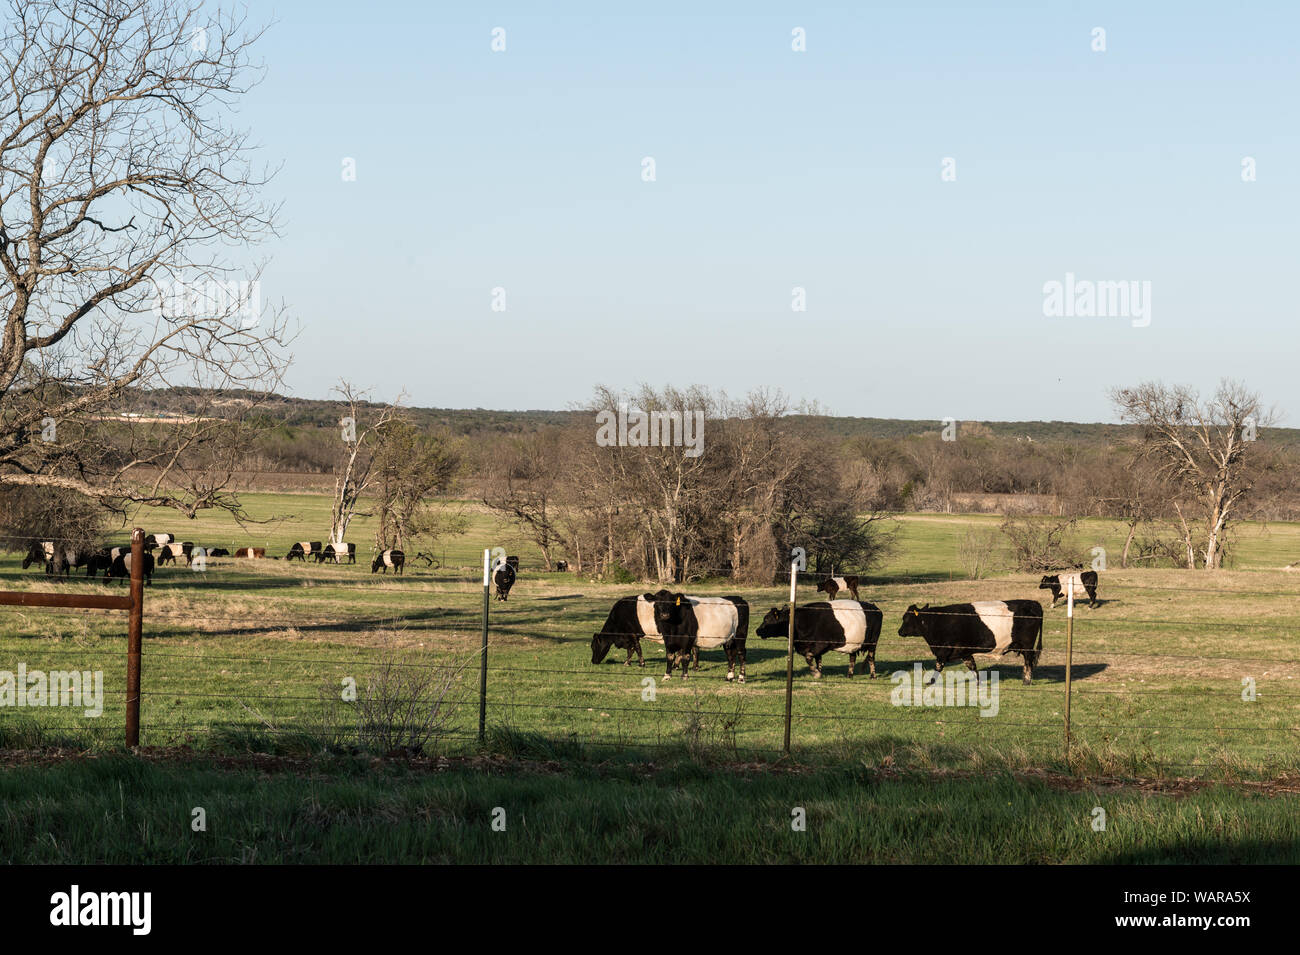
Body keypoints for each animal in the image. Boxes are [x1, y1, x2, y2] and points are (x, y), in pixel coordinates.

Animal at [592, 589, 754, 680]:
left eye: (594, 647)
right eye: (657, 603)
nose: (593, 661)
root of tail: (738, 598)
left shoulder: (632, 632)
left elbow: (636, 648)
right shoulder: (667, 638)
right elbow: (670, 655)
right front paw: (669, 673)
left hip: (740, 635)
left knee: (741, 653)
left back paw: (741, 677)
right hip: (728, 639)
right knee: (730, 654)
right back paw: (729, 676)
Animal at [754, 597, 883, 680]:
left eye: (766, 619)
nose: (757, 630)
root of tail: (876, 608)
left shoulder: (821, 644)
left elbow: (809, 657)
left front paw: (816, 673)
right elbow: (817, 660)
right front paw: (819, 673)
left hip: (873, 642)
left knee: (871, 658)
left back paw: (873, 676)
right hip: (854, 642)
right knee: (852, 658)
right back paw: (849, 676)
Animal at [894, 600, 1045, 686]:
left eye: (906, 618)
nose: (899, 631)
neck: (935, 621)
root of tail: (1034, 603)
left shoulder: (943, 651)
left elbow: (938, 667)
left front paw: (930, 682)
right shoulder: (964, 652)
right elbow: (972, 667)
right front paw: (978, 683)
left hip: (1027, 645)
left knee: (1028, 660)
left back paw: (1026, 681)